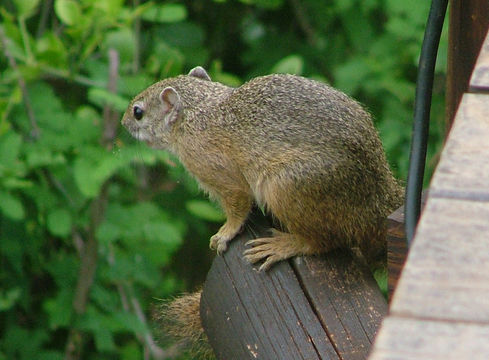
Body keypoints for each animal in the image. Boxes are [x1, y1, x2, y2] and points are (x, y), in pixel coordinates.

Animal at [122, 67, 404, 358]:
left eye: (138, 112)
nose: (123, 122)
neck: (198, 113)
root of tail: (376, 202)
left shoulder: (221, 173)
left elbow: (237, 207)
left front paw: (224, 234)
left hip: (287, 187)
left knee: (324, 241)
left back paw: (282, 245)